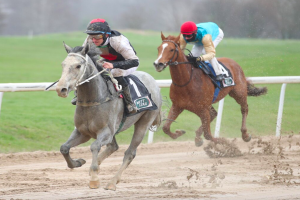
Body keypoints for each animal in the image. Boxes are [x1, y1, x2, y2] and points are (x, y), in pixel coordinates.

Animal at [55, 42, 162, 191]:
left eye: (78, 66)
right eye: (63, 64)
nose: (61, 89)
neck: (94, 99)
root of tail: (154, 81)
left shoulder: (105, 132)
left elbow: (94, 146)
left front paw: (94, 179)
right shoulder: (83, 132)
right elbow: (64, 148)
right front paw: (79, 162)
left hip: (144, 122)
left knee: (130, 153)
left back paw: (112, 182)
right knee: (113, 147)